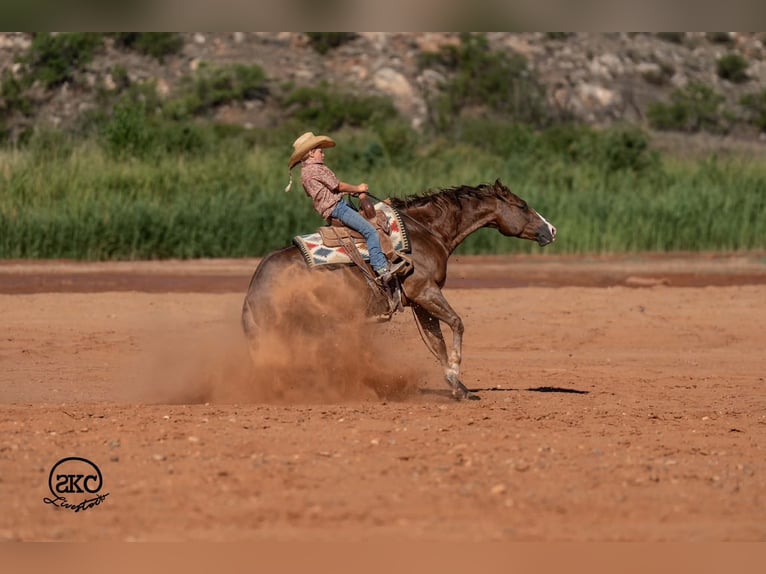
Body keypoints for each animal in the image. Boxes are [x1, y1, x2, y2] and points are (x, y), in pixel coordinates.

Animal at [241, 178, 556, 400]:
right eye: (522, 206)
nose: (551, 230)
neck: (425, 232)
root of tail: (254, 290)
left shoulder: (419, 302)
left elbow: (437, 341)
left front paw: (459, 387)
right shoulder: (424, 292)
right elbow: (456, 323)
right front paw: (456, 372)